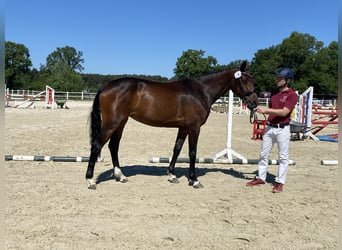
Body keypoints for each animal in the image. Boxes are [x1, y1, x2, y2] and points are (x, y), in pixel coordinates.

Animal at [86, 61, 260, 188]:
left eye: (252, 79)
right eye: (244, 80)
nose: (254, 103)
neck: (201, 91)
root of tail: (106, 86)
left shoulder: (183, 128)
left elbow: (177, 149)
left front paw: (172, 175)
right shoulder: (194, 127)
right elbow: (192, 152)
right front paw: (194, 180)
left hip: (121, 122)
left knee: (113, 146)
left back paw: (120, 176)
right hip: (112, 123)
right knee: (97, 145)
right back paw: (90, 180)